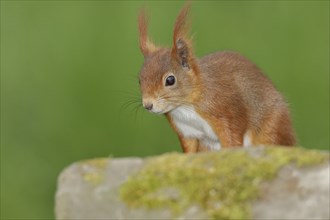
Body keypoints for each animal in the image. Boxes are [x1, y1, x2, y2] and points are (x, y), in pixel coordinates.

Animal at [137, 4, 296, 152]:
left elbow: (232, 140)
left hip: (270, 130)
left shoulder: (226, 113)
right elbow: (189, 149)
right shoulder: (185, 131)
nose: (148, 105)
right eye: (139, 80)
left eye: (170, 80)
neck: (186, 106)